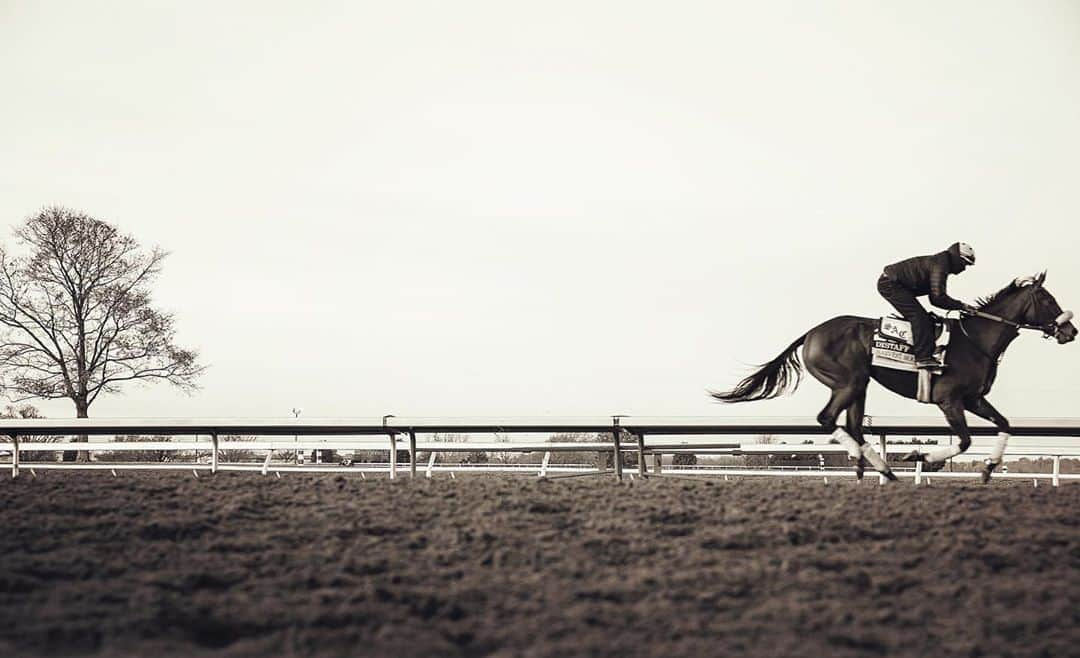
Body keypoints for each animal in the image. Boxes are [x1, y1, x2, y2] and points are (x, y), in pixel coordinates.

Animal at [712, 272, 1075, 481]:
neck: (976, 340)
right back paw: (879, 467)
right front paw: (922, 456)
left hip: (858, 387)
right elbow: (965, 440)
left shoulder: (974, 399)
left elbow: (1004, 424)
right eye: (1047, 299)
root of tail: (811, 334)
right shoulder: (949, 400)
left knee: (854, 426)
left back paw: (876, 469)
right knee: (828, 419)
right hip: (849, 382)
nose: (1070, 330)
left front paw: (988, 468)